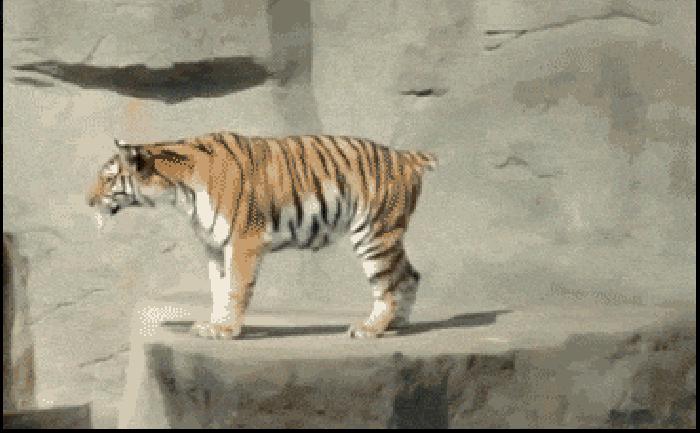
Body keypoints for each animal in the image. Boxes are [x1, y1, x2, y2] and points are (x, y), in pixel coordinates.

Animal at [87, 131, 437, 339]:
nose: (88, 200)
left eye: (108, 179)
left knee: (387, 285)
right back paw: (397, 324)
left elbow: (235, 289)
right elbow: (218, 289)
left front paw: (226, 329)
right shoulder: (215, 247)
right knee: (409, 275)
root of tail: (406, 156)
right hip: (385, 234)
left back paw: (370, 328)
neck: (178, 189)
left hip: (373, 234)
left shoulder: (243, 241)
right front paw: (212, 324)